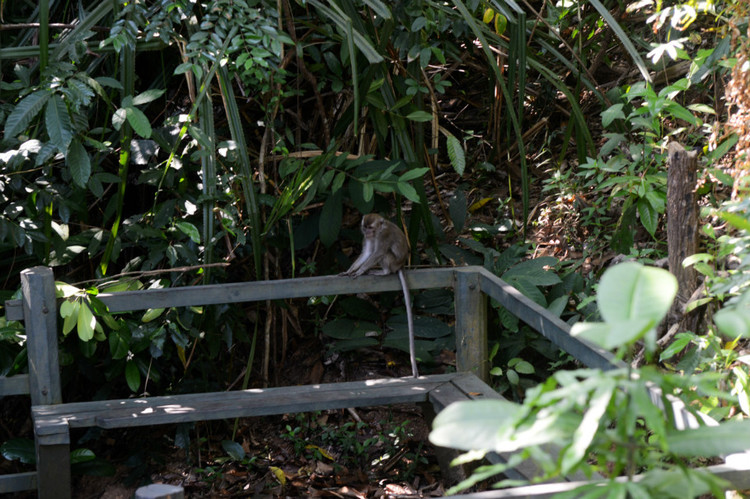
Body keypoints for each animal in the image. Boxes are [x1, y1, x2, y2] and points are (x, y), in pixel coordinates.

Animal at [342, 212, 420, 378]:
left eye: (371, 228)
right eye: (365, 227)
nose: (367, 233)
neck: (378, 231)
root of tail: (401, 264)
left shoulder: (384, 236)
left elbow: (377, 253)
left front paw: (360, 271)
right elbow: (367, 253)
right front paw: (350, 270)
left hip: (393, 262)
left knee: (385, 254)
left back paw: (384, 272)